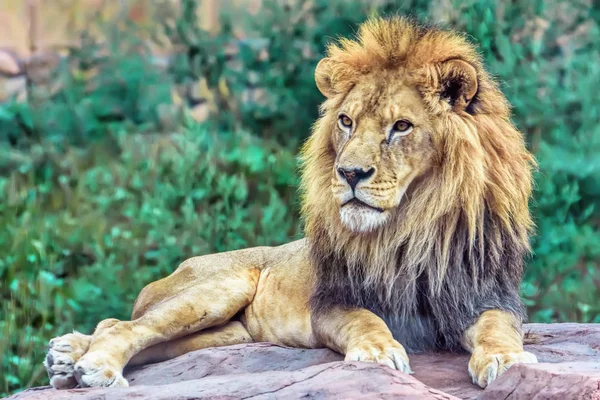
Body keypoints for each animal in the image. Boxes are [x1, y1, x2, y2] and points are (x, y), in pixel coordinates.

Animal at [44, 16, 536, 390]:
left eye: (401, 126)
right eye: (346, 121)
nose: (349, 174)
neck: (411, 225)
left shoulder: (484, 295)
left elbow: (500, 328)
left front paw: (507, 360)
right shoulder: (332, 301)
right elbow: (364, 320)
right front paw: (378, 351)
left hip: (224, 335)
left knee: (133, 334)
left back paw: (66, 360)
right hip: (214, 290)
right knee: (127, 326)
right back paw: (90, 366)